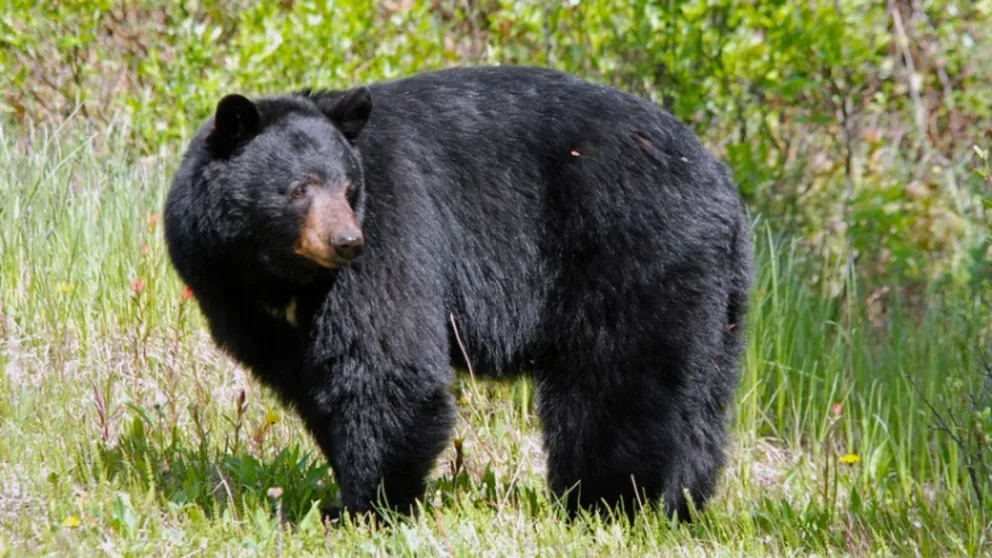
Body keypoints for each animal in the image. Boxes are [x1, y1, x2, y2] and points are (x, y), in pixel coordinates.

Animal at [163, 65, 753, 523]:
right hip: (718, 291)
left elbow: (387, 365)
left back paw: (606, 503)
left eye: (349, 189)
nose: (347, 241)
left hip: (630, 251)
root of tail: (720, 182)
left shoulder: (394, 227)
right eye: (300, 188)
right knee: (701, 398)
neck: (278, 272)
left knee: (619, 382)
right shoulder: (233, 292)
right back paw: (680, 502)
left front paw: (364, 507)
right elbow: (313, 381)